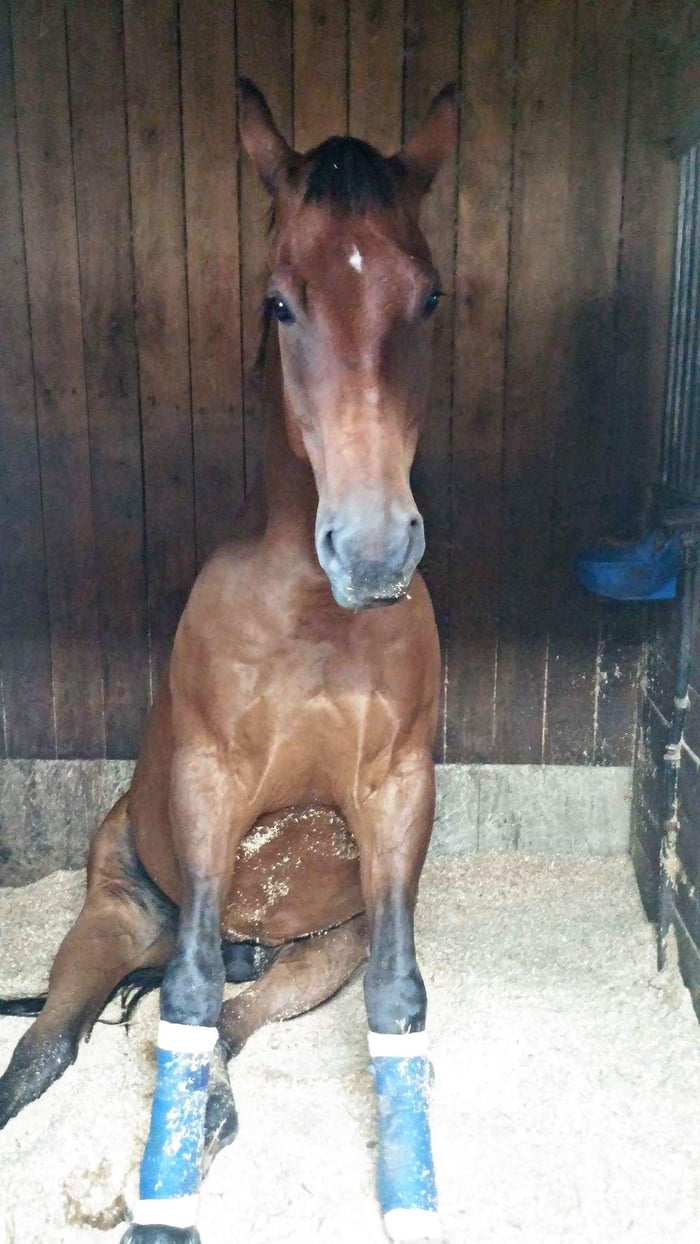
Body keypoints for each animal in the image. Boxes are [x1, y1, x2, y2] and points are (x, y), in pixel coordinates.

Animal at [0, 78, 457, 1244]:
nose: (373, 549)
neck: (316, 619)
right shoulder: (211, 787)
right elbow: (191, 989)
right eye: (280, 302)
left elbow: (398, 998)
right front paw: (162, 1208)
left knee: (235, 1038)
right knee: (50, 1047)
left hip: (316, 957)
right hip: (108, 921)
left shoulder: (398, 794)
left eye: (427, 298)